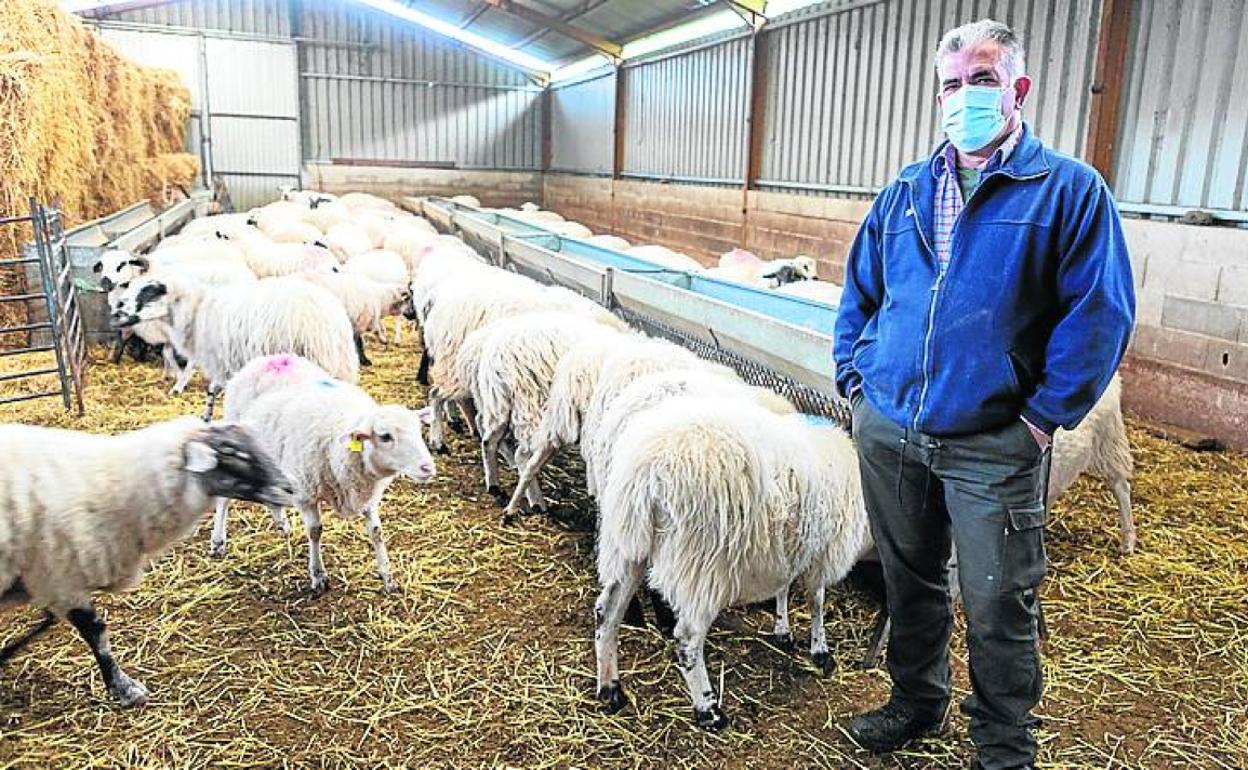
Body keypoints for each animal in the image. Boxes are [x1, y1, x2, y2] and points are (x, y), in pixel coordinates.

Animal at [0, 416, 290, 703]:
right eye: (230, 453)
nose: (289, 488)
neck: (113, 487)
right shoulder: (59, 576)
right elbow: (96, 631)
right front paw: (125, 689)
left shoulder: (47, 579)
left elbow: (52, 621)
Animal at [217, 354, 441, 594]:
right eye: (385, 436)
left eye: (419, 430)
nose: (428, 468)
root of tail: (271, 358)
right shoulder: (305, 493)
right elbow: (315, 531)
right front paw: (318, 575)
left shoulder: (367, 496)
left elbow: (376, 532)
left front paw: (388, 578)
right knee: (224, 496)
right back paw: (218, 542)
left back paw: (281, 525)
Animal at [591, 396, 868, 728]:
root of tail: (645, 472)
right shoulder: (822, 552)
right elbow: (816, 601)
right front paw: (820, 650)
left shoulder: (788, 546)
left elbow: (784, 588)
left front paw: (783, 630)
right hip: (700, 564)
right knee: (687, 639)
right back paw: (708, 710)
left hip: (626, 544)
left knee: (607, 613)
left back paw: (610, 689)